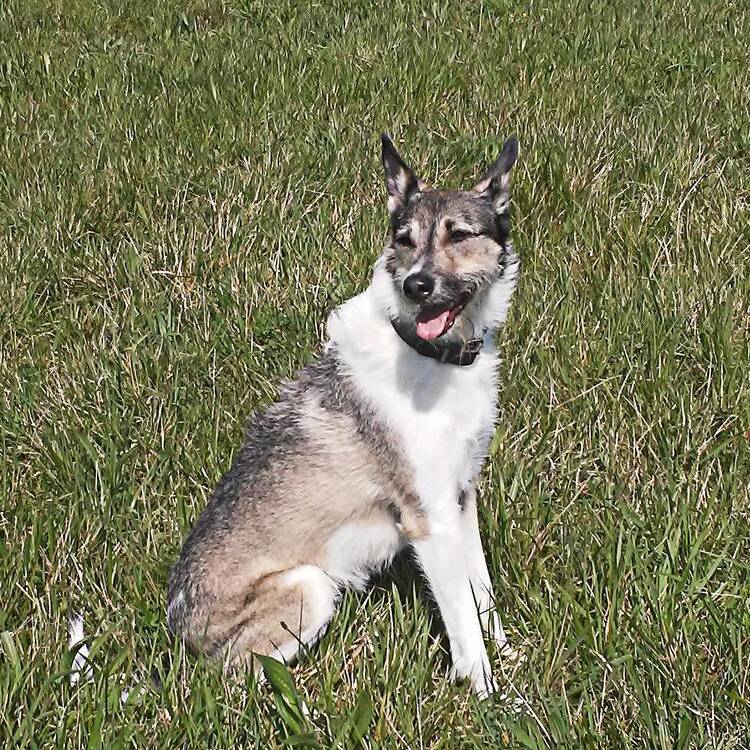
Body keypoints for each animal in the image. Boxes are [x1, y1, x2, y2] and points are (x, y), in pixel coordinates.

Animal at [169, 134, 524, 700]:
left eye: (460, 235)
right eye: (404, 239)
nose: (416, 286)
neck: (430, 355)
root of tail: (177, 628)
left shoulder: (461, 499)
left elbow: (482, 595)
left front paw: (508, 658)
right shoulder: (430, 521)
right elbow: (464, 624)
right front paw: (492, 698)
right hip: (308, 588)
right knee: (234, 682)